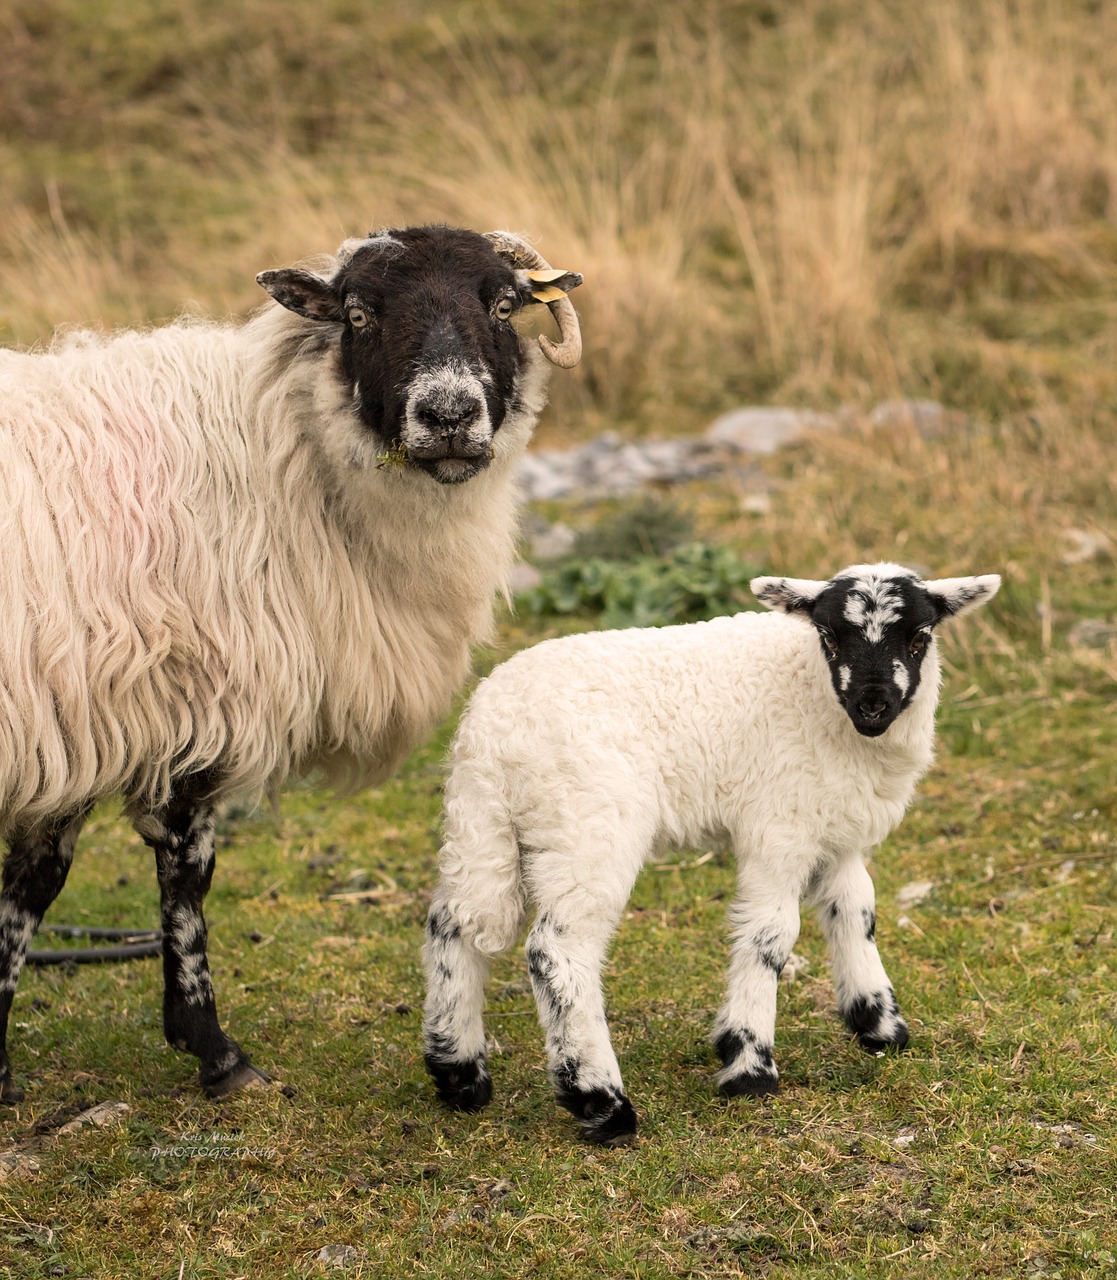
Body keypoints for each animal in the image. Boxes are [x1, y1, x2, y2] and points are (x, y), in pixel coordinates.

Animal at [0, 222, 588, 1100]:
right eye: (358, 313)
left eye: (504, 304)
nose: (448, 415)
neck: (278, 449)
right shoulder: (181, 710)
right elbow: (182, 879)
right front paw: (215, 1052)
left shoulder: (77, 722)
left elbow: (29, 892)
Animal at [422, 565, 998, 1146]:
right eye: (830, 637)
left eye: (920, 638)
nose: (873, 704)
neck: (812, 690)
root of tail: (493, 732)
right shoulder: (779, 824)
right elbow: (771, 936)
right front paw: (749, 1065)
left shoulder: (833, 828)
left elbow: (856, 911)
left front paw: (878, 1024)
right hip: (587, 827)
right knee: (556, 952)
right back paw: (602, 1103)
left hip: (485, 825)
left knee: (455, 924)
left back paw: (459, 1075)